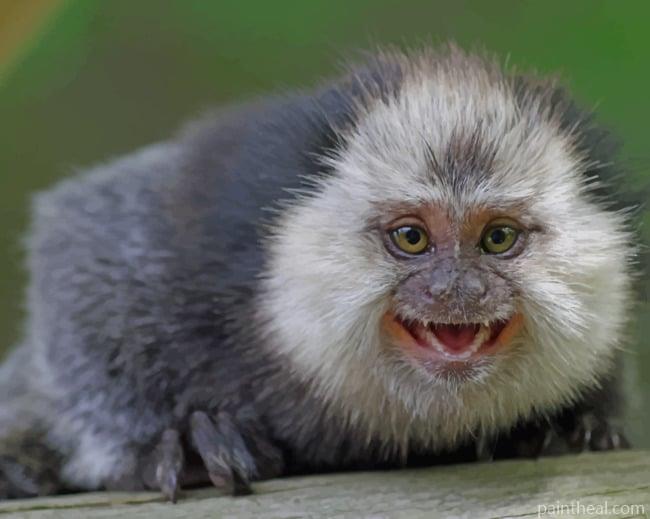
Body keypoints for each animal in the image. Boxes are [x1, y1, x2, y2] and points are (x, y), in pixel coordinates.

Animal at [0, 45, 638, 501]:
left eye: (498, 239)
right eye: (412, 238)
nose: (456, 290)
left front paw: (567, 428)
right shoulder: (195, 238)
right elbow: (79, 240)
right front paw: (170, 445)